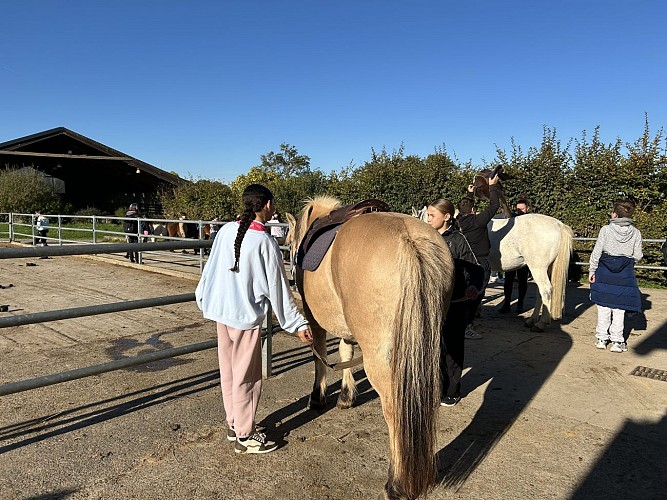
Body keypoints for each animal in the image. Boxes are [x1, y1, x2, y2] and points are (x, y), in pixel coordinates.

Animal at [290, 196, 455, 500]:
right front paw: (346, 397)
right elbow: (345, 351)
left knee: (394, 412)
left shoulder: (313, 320)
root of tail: (410, 241)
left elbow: (319, 357)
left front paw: (318, 398)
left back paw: (397, 484)